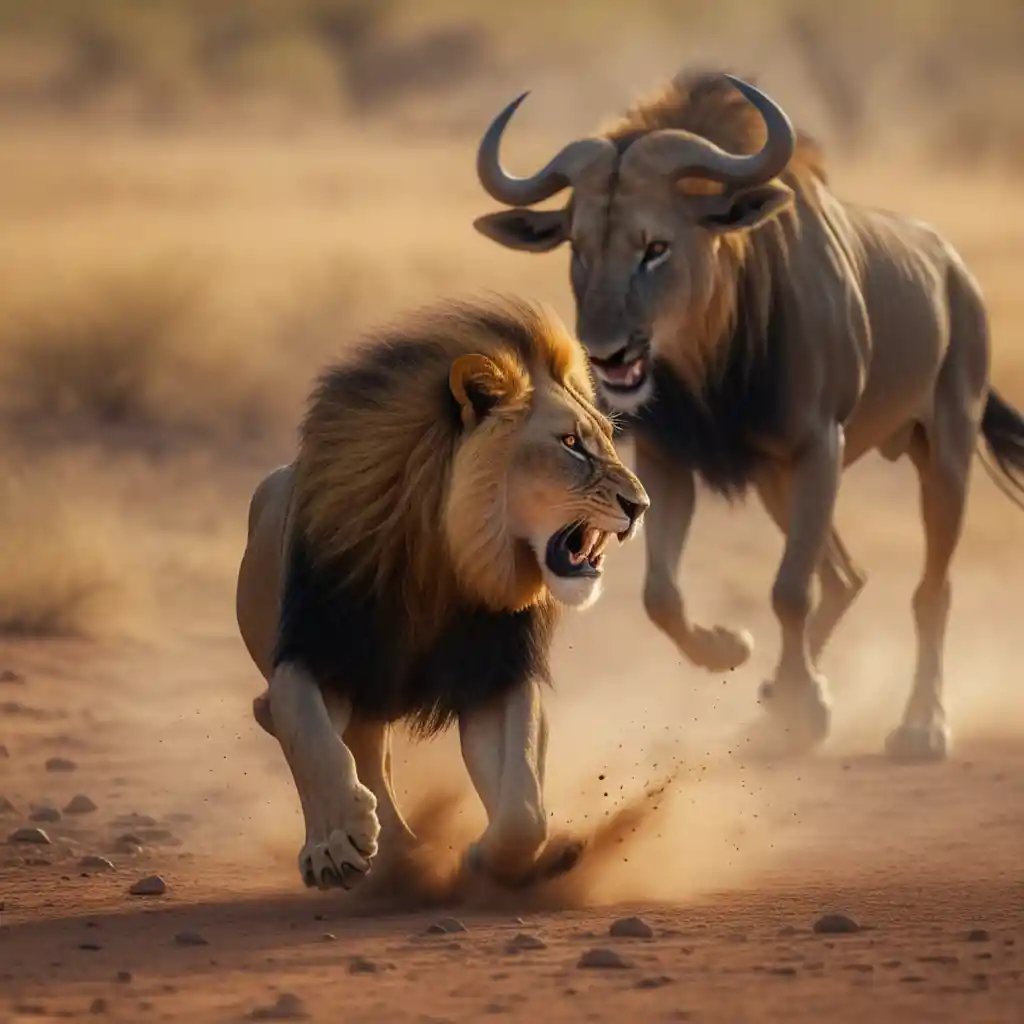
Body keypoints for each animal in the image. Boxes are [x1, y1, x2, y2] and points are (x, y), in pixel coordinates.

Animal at [235, 296, 649, 891]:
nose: (640, 505)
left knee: (371, 753)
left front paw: (495, 861)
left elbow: (523, 804)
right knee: (337, 743)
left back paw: (408, 853)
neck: (444, 559)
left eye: (609, 439)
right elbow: (308, 737)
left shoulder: (496, 673)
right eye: (571, 444)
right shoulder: (317, 646)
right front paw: (335, 845)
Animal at [472, 69, 1024, 762]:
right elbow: (661, 595)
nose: (604, 353)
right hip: (774, 480)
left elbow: (789, 589)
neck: (710, 363)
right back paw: (772, 701)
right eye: (580, 248)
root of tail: (953, 266)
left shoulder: (820, 446)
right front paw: (730, 651)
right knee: (847, 576)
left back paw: (919, 728)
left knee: (930, 591)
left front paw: (808, 710)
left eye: (656, 247)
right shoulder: (666, 459)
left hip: (944, 449)